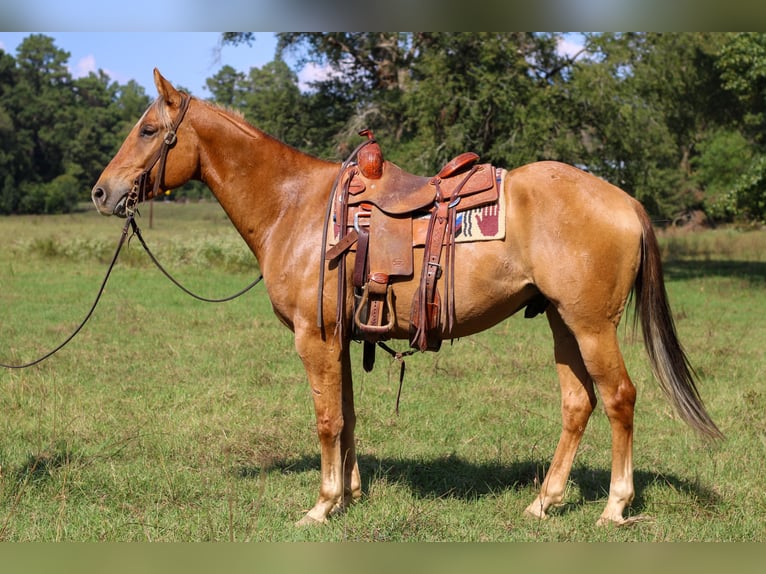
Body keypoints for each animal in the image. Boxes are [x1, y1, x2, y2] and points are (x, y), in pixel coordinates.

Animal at [93, 70, 724, 528]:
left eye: (148, 130)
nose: (102, 191)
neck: (294, 206)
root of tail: (625, 200)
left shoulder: (314, 337)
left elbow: (326, 419)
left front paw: (322, 505)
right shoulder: (340, 338)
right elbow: (346, 415)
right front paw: (349, 495)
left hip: (592, 325)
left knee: (619, 399)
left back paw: (615, 506)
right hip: (563, 324)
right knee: (578, 403)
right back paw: (543, 502)